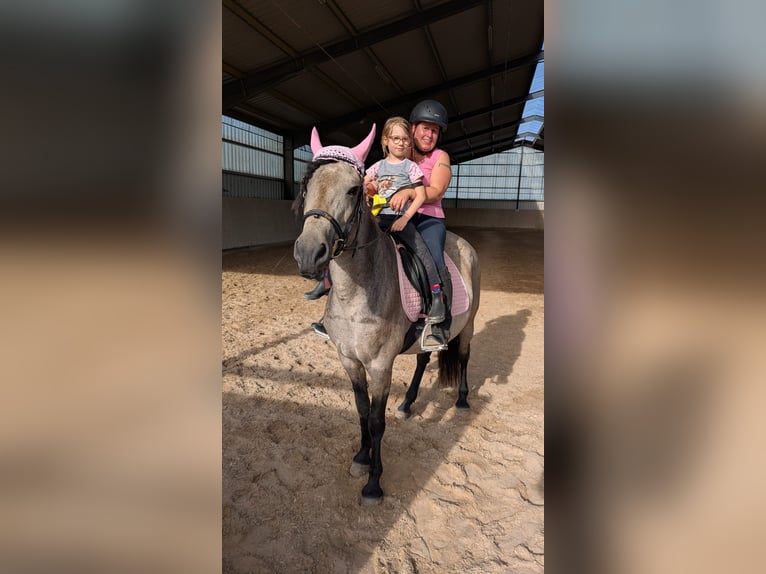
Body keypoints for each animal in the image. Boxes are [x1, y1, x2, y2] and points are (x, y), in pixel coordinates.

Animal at [293, 125, 481, 505]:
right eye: (307, 185)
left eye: (353, 189)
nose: (308, 254)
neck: (356, 292)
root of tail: (464, 245)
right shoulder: (349, 360)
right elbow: (362, 410)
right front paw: (361, 457)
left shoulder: (380, 365)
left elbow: (377, 421)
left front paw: (373, 483)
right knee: (424, 358)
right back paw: (407, 403)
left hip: (467, 326)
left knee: (464, 357)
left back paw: (462, 400)